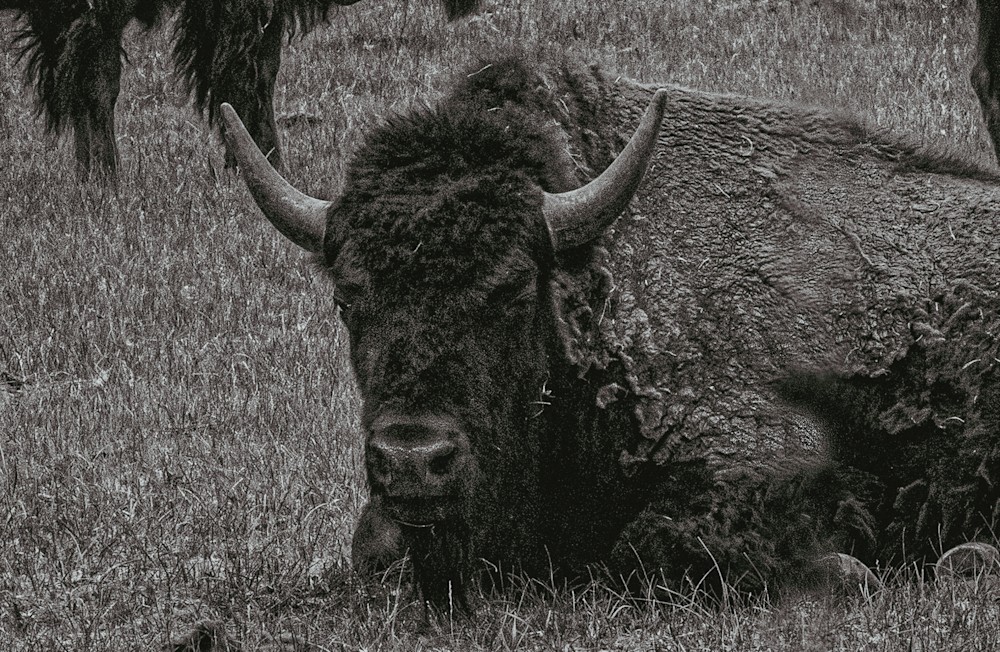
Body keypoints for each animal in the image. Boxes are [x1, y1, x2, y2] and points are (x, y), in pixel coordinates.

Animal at [221, 53, 1000, 608]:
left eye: (512, 289)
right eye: (348, 297)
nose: (413, 458)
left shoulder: (767, 459)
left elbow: (641, 549)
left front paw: (846, 572)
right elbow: (370, 552)